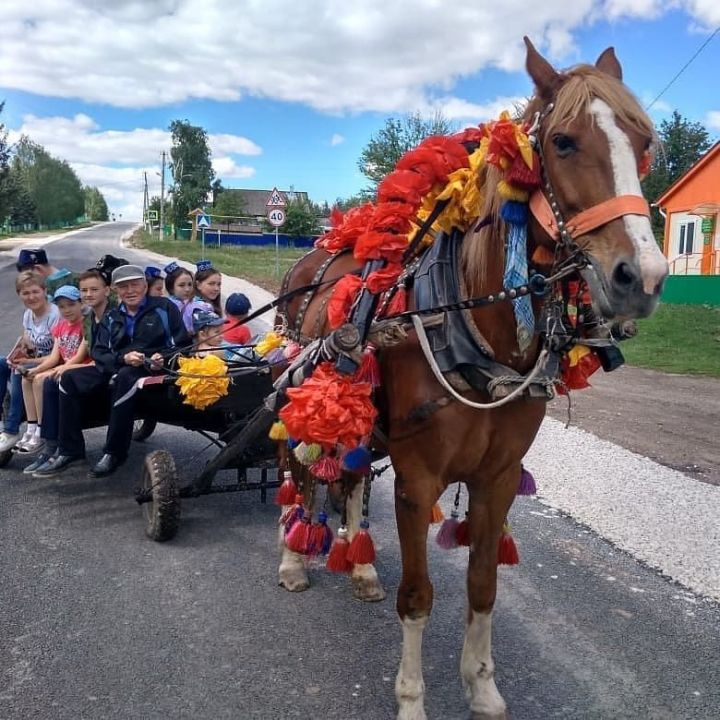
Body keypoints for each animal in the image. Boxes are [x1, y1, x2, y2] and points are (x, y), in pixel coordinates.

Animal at [274, 39, 664, 720]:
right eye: (563, 142)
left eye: (641, 142)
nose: (641, 276)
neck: (470, 330)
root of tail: (318, 252)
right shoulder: (418, 481)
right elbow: (419, 595)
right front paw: (412, 699)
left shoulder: (499, 477)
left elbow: (483, 585)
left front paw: (482, 685)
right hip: (306, 398)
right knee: (303, 472)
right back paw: (296, 556)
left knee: (350, 478)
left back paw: (359, 565)